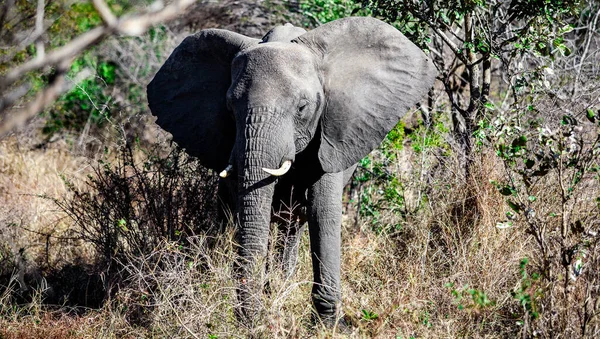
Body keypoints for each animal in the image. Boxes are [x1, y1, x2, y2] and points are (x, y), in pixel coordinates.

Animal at [145, 17, 436, 326]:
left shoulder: (333, 133)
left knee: (292, 224)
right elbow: (242, 207)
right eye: (229, 108)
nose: (251, 321)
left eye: (302, 107)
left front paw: (326, 324)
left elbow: (322, 211)